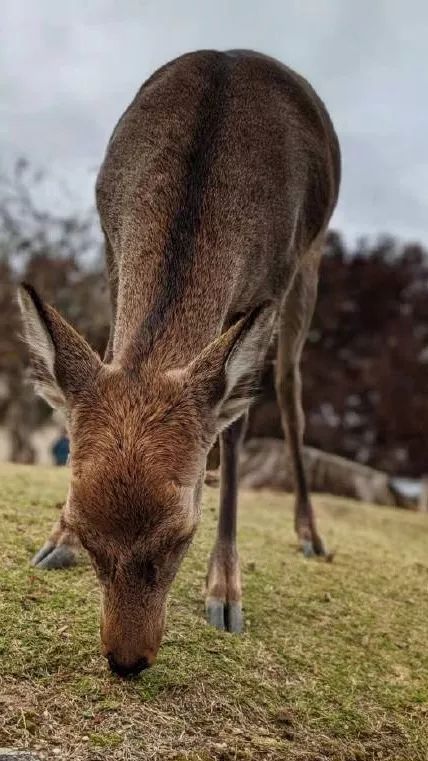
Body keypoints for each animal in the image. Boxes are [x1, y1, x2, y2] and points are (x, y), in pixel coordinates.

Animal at [18, 50, 340, 678]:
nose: (126, 660)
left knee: (289, 392)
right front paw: (54, 543)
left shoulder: (275, 276)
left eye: (181, 538)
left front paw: (226, 592)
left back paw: (310, 535)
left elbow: (235, 424)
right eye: (86, 530)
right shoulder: (110, 250)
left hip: (310, 268)